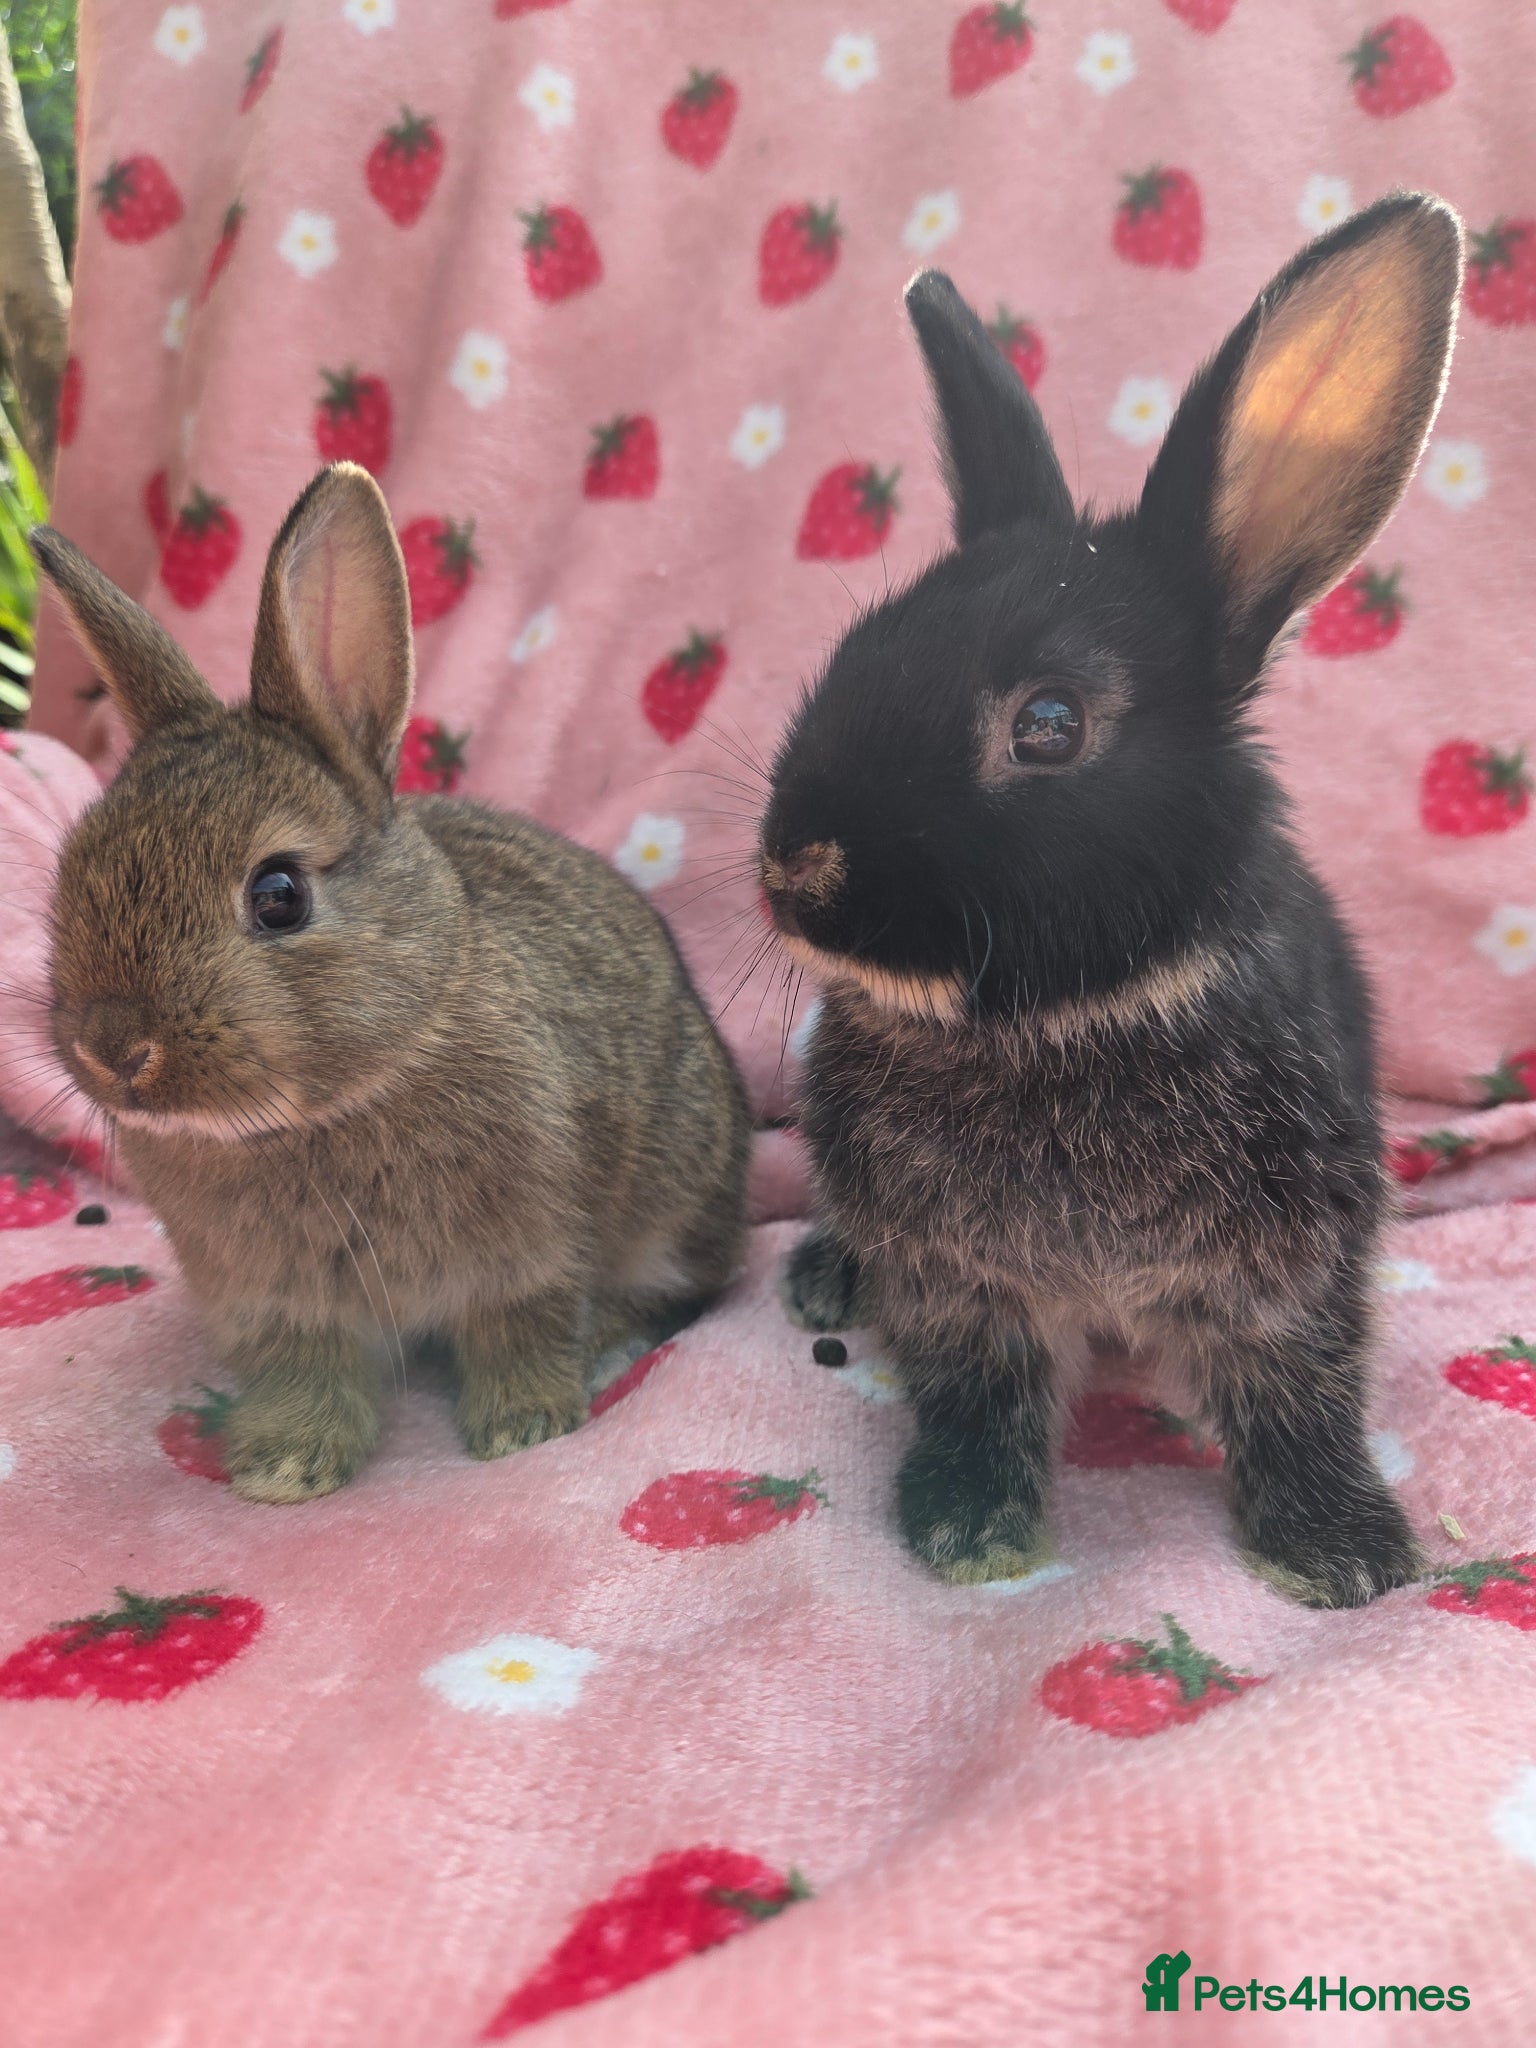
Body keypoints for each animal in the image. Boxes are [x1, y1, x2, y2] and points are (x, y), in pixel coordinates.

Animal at [35, 462, 750, 1505]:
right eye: (71, 871)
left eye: (279, 895)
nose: (112, 1046)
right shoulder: (278, 1305)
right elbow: (307, 1374)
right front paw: (282, 1468)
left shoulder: (528, 1253)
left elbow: (524, 1326)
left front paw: (523, 1428)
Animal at [759, 192, 1463, 1605]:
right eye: (855, 650)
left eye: (1048, 724)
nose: (796, 870)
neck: (1063, 1020)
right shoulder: (958, 1283)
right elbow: (976, 1390)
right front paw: (968, 1525)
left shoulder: (1290, 1271)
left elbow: (1298, 1391)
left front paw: (1344, 1550)